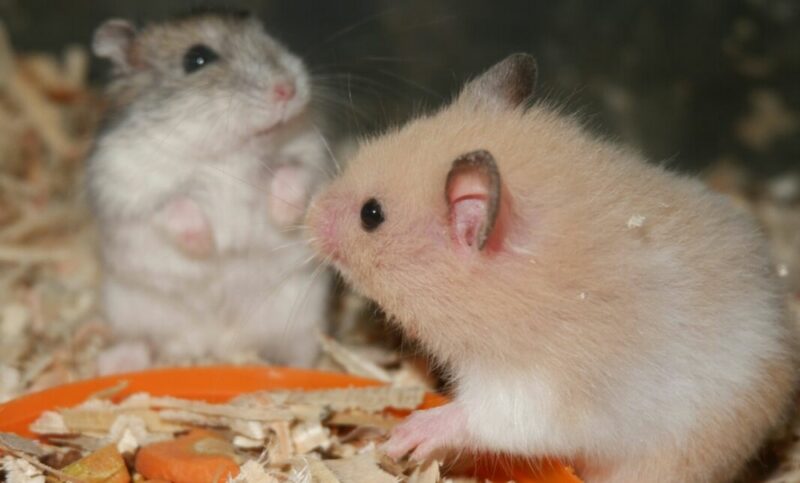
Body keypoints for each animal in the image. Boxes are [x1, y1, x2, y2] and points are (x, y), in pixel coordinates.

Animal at [87, 10, 332, 371]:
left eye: (271, 36)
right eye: (196, 59)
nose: (287, 89)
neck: (229, 151)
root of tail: (217, 345)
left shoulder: (312, 157)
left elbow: (293, 175)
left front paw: (281, 215)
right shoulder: (125, 186)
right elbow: (172, 205)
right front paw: (205, 245)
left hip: (301, 315)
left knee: (298, 352)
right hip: (128, 308)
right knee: (142, 340)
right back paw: (117, 363)